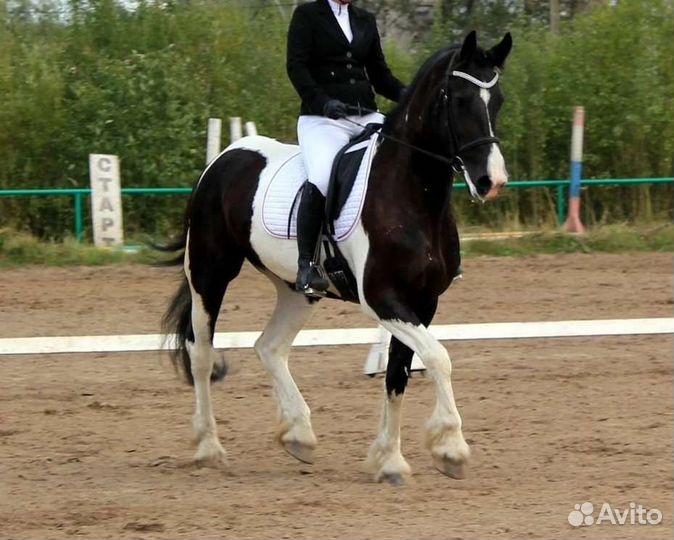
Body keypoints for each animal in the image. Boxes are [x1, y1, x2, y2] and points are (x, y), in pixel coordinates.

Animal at [162, 30, 512, 485]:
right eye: (460, 100)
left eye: (498, 100)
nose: (492, 181)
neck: (412, 196)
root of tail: (225, 157)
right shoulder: (382, 299)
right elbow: (439, 358)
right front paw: (450, 447)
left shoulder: (423, 302)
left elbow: (398, 374)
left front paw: (389, 459)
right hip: (210, 273)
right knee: (201, 354)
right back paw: (209, 447)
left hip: (297, 289)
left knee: (269, 346)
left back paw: (298, 435)